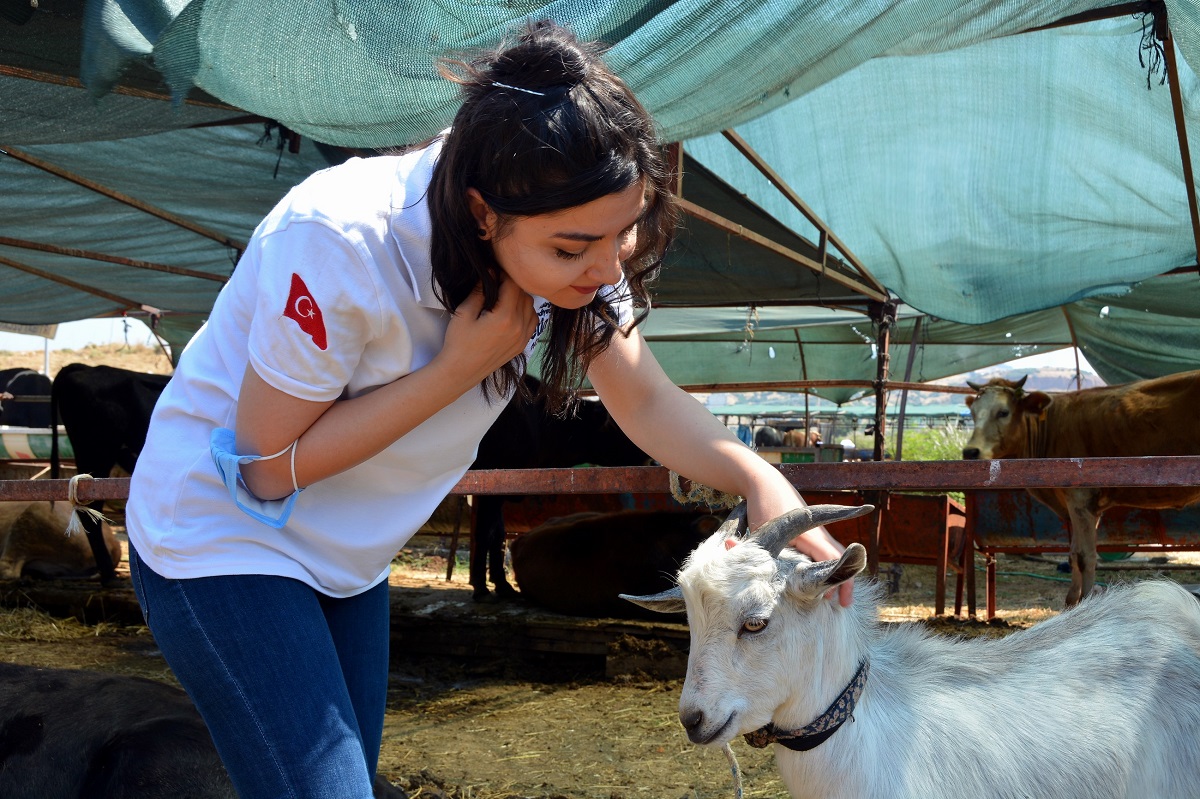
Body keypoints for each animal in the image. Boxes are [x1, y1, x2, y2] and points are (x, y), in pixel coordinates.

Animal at [472, 376, 652, 599]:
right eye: (620, 426)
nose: (651, 459)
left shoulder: (499, 489)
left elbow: (497, 535)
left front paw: (502, 585)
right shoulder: (489, 485)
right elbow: (484, 533)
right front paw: (481, 587)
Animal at [964, 374, 1200, 604]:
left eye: (1003, 412)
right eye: (973, 413)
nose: (970, 452)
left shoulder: (1080, 498)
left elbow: (1085, 556)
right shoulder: (1083, 506)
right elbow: (1073, 554)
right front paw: (1071, 600)